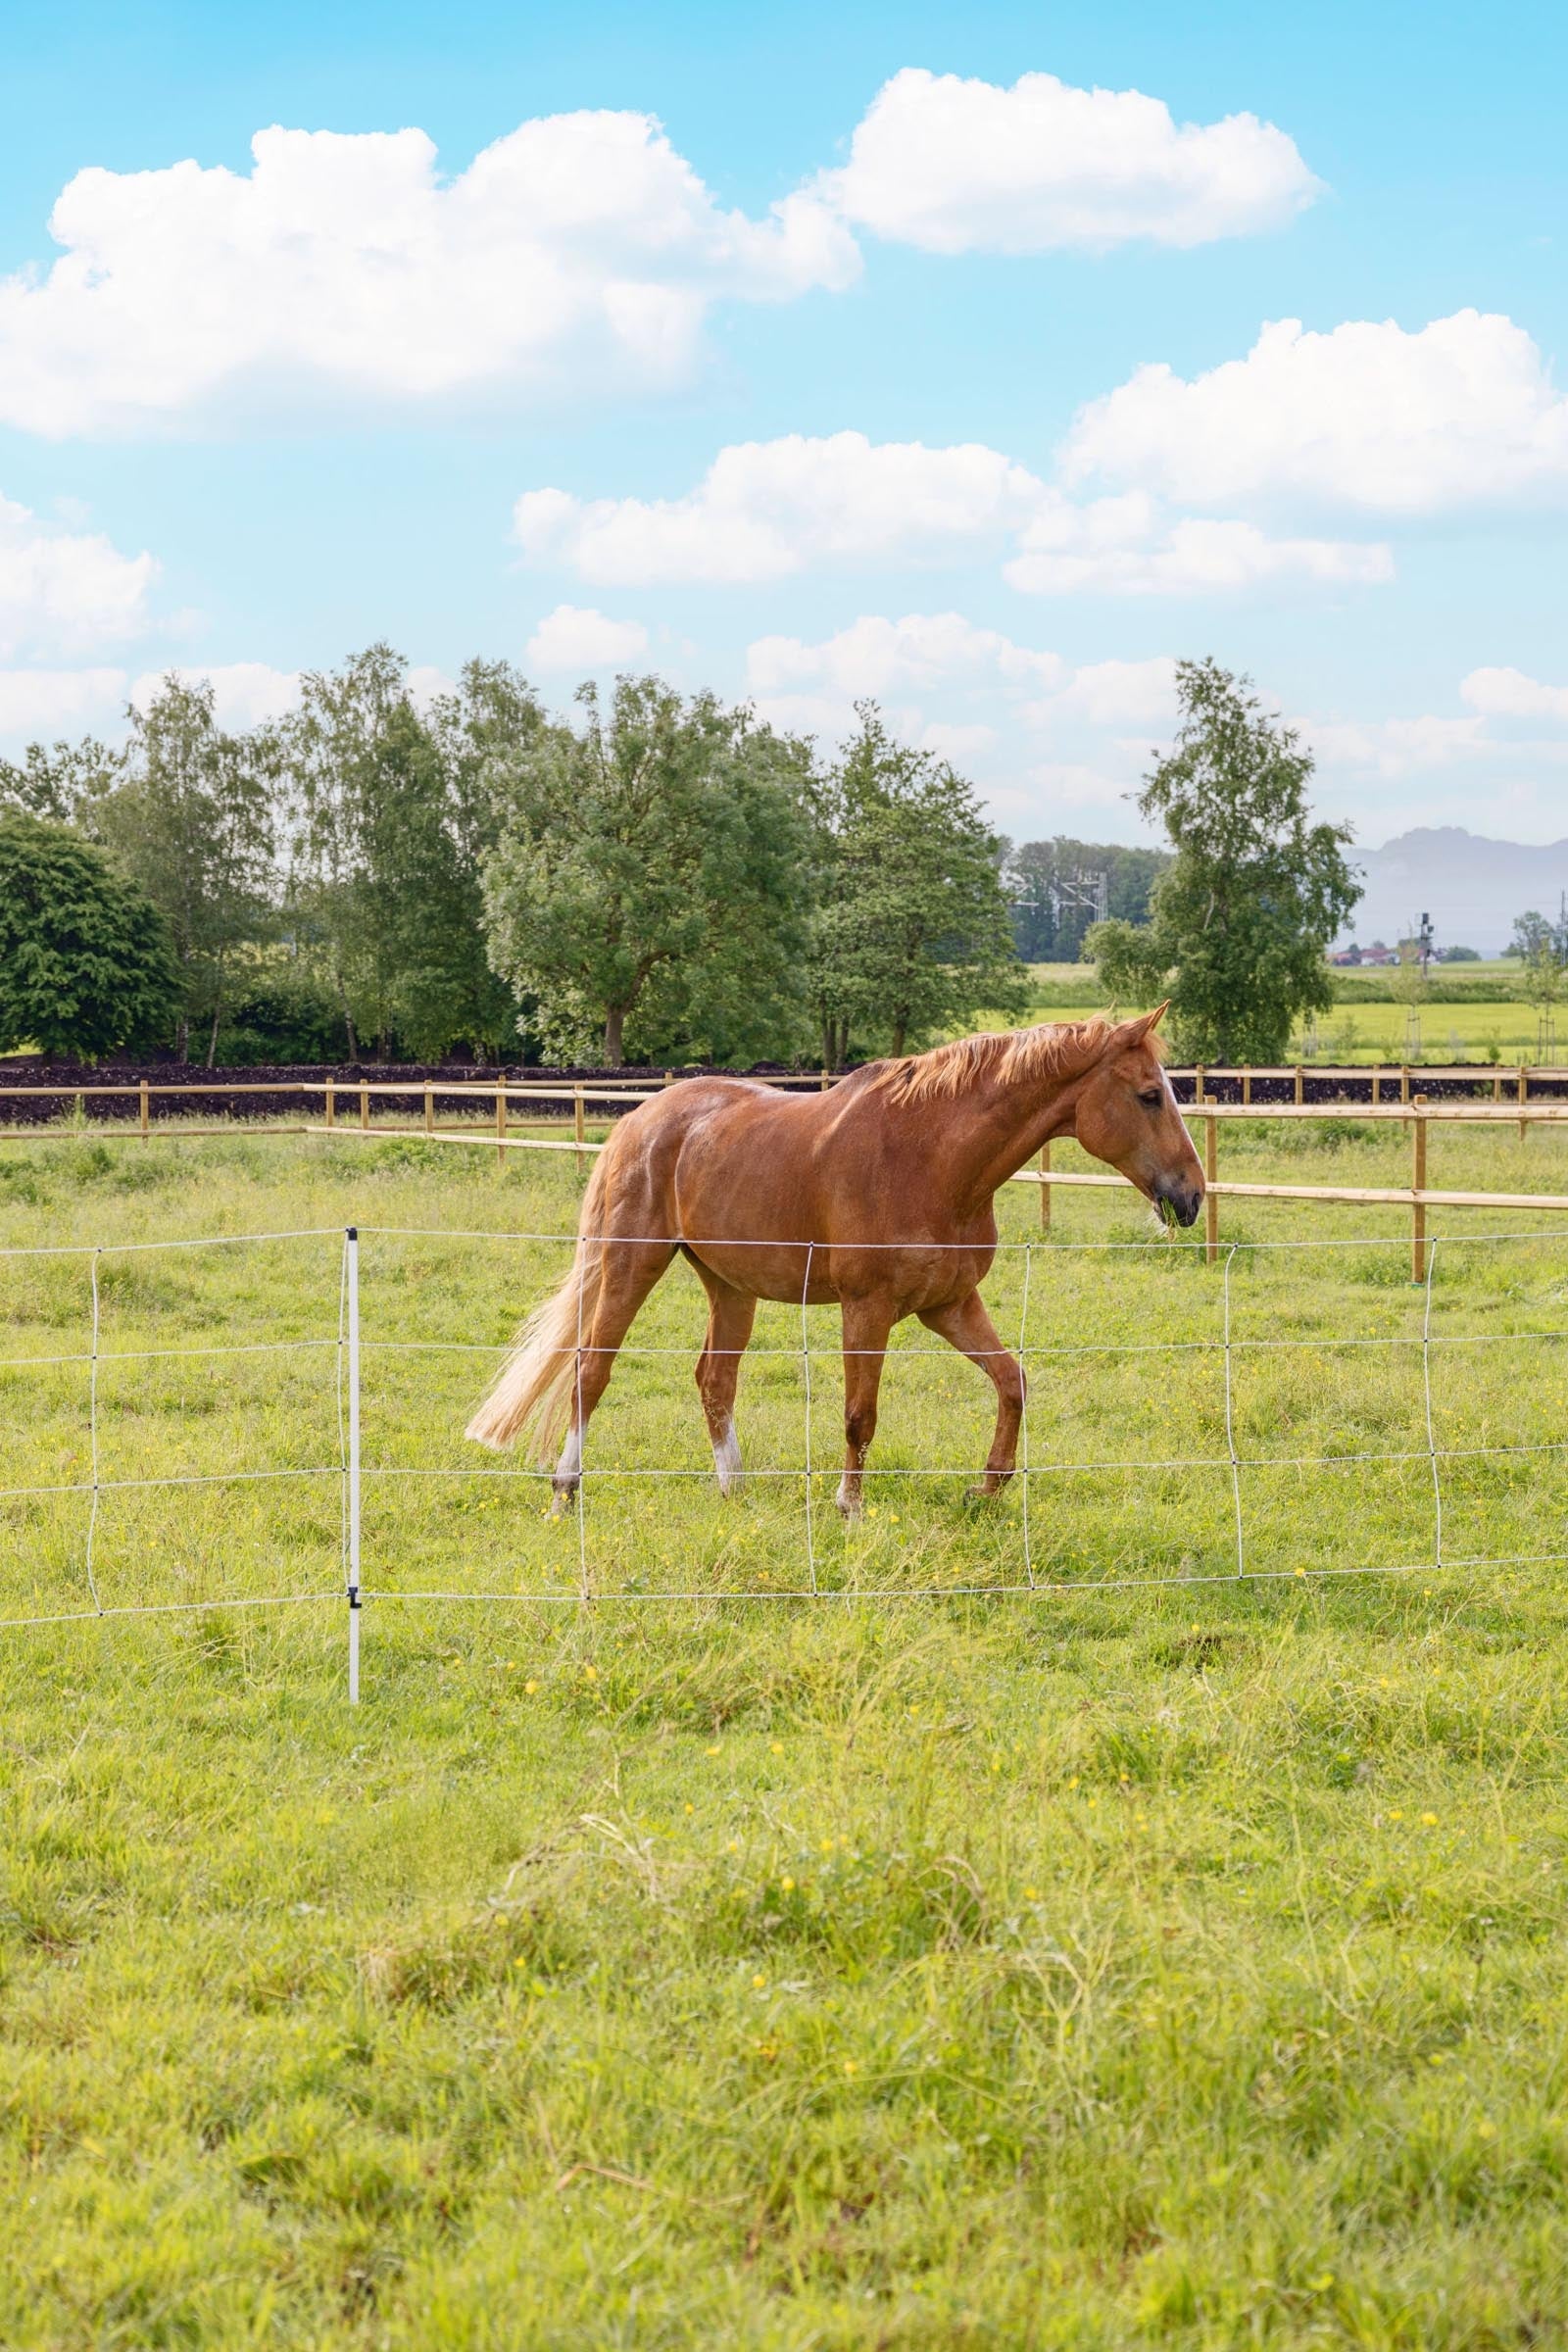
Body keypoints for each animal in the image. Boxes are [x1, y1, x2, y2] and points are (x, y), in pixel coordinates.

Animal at [465, 1006, 1203, 1517]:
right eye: (1149, 1095)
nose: (1192, 1195)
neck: (933, 1160)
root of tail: (637, 1122)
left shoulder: (948, 1305)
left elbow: (1012, 1382)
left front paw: (987, 1486)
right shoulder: (867, 1309)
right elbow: (859, 1414)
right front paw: (849, 1505)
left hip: (729, 1284)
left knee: (714, 1380)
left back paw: (734, 1490)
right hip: (630, 1264)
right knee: (590, 1371)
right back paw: (565, 1490)